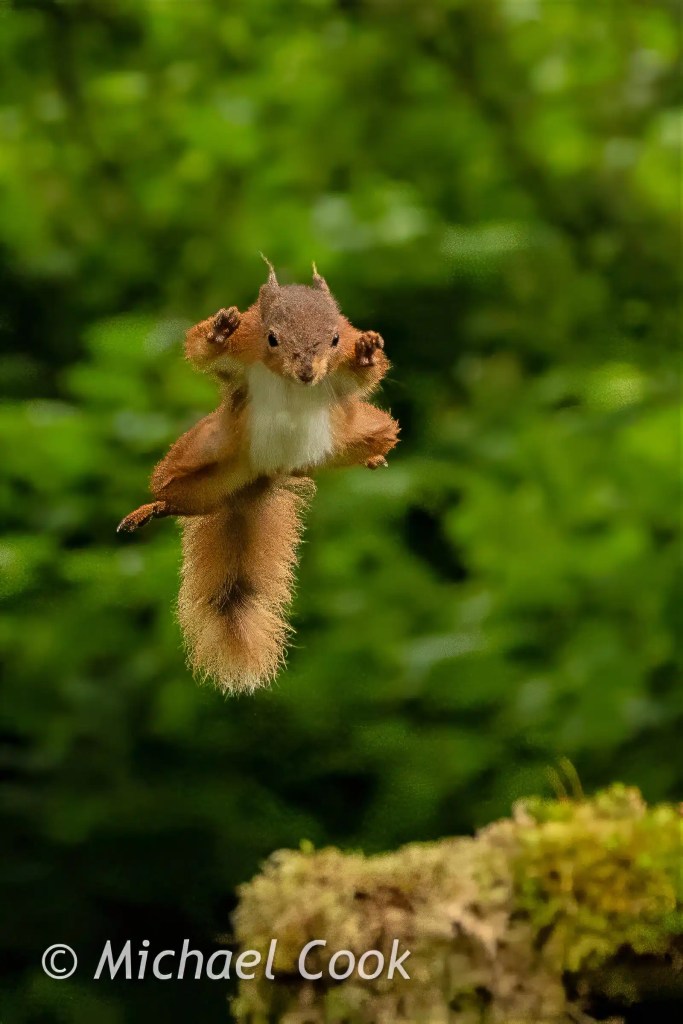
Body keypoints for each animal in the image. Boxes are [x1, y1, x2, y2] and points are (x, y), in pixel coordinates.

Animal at [117, 259, 399, 693]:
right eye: (272, 338)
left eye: (336, 338)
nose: (307, 372)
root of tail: (266, 473)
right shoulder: (243, 348)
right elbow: (201, 351)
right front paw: (218, 329)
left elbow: (368, 378)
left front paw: (368, 352)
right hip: (206, 453)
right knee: (177, 492)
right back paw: (155, 506)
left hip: (357, 428)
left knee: (374, 437)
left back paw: (366, 458)